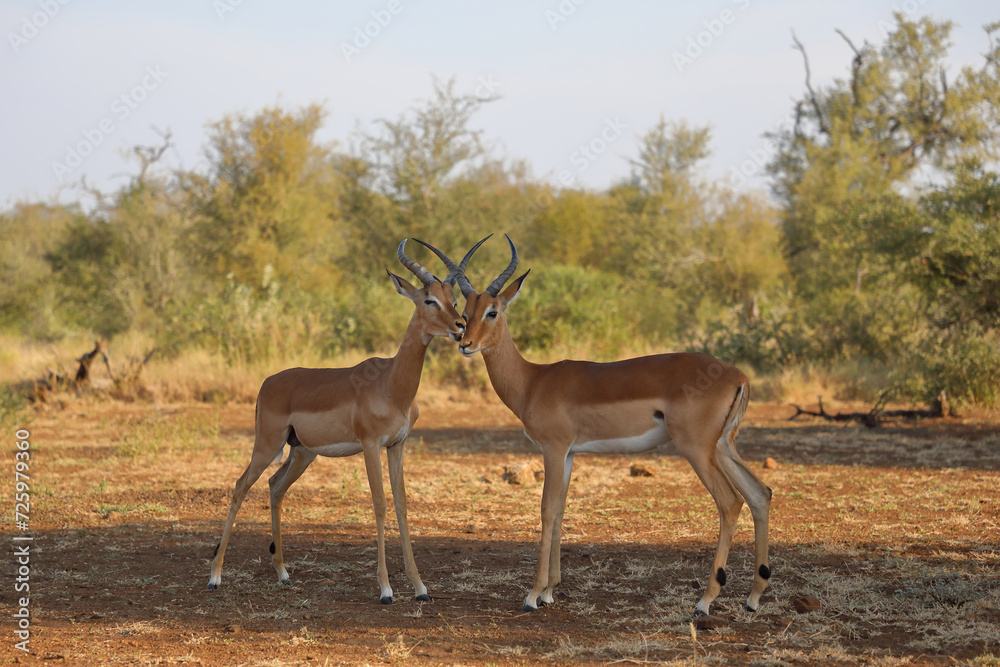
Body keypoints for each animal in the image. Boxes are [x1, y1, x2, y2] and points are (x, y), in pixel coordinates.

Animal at [207, 240, 469, 604]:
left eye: (454, 299)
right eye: (429, 299)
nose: (461, 325)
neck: (391, 383)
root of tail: (267, 382)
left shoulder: (397, 445)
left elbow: (402, 505)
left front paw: (420, 588)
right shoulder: (371, 445)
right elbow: (380, 504)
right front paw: (386, 590)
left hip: (302, 453)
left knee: (274, 486)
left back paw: (283, 574)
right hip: (267, 444)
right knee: (240, 485)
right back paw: (214, 577)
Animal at [421, 235, 772, 615]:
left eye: (493, 311)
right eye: (465, 314)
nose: (465, 344)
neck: (532, 381)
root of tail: (738, 376)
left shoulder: (553, 449)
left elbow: (546, 511)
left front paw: (532, 595)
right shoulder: (570, 454)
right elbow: (561, 510)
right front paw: (550, 591)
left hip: (696, 449)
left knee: (730, 502)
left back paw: (705, 601)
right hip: (722, 446)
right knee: (760, 493)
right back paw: (753, 598)